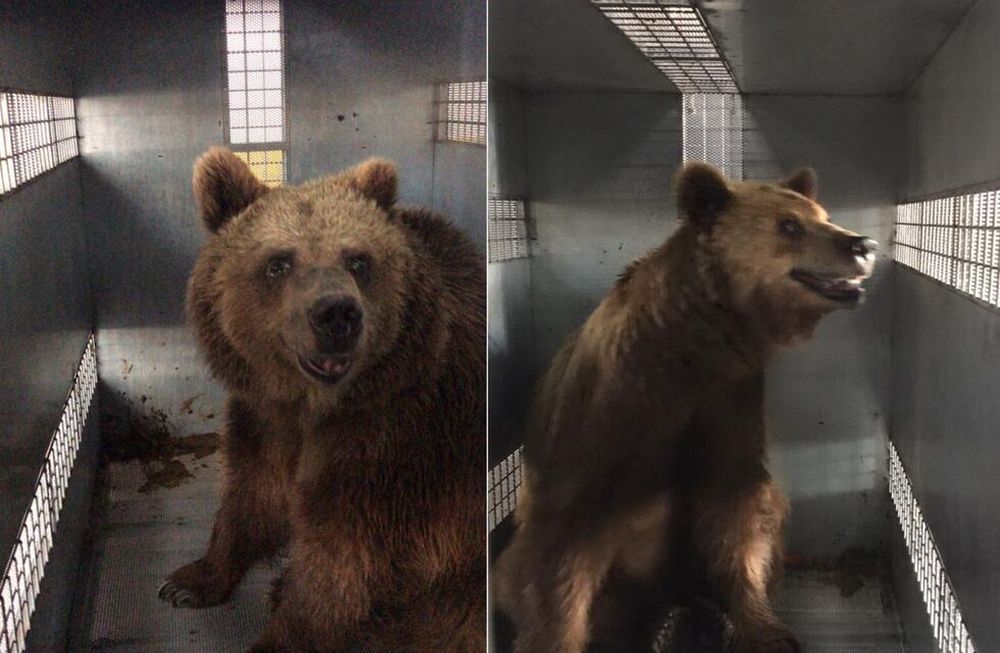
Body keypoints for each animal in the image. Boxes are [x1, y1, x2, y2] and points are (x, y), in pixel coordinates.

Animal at [157, 148, 486, 653]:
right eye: (278, 262)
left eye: (358, 260)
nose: (337, 314)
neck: (315, 405)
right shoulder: (264, 417)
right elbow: (253, 494)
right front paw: (190, 581)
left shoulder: (393, 449)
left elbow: (342, 562)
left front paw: (278, 634)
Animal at [492, 162, 877, 653]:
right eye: (789, 225)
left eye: (823, 215)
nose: (861, 244)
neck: (690, 351)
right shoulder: (605, 426)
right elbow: (562, 554)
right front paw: (554, 636)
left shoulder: (728, 401)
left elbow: (736, 510)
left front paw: (763, 628)